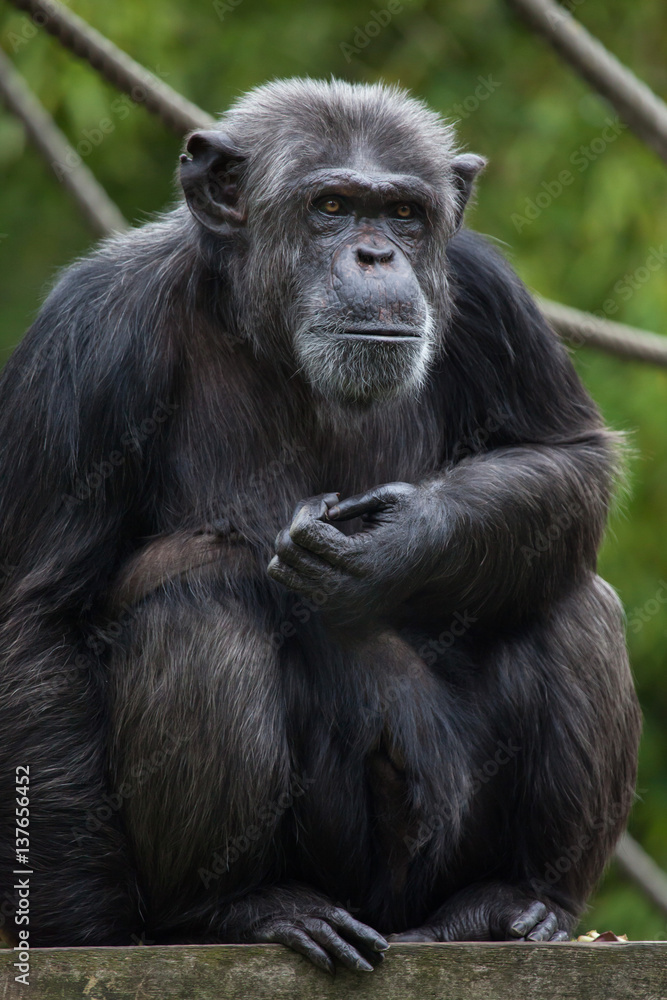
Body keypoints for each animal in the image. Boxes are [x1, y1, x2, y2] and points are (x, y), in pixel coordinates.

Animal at [0, 80, 640, 976]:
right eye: (330, 207)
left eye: (403, 213)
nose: (375, 257)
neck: (258, 322)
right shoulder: (87, 338)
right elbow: (39, 612)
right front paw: (83, 930)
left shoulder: (490, 293)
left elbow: (564, 455)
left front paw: (397, 543)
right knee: (199, 589)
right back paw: (241, 906)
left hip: (436, 864)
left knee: (567, 593)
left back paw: (513, 900)